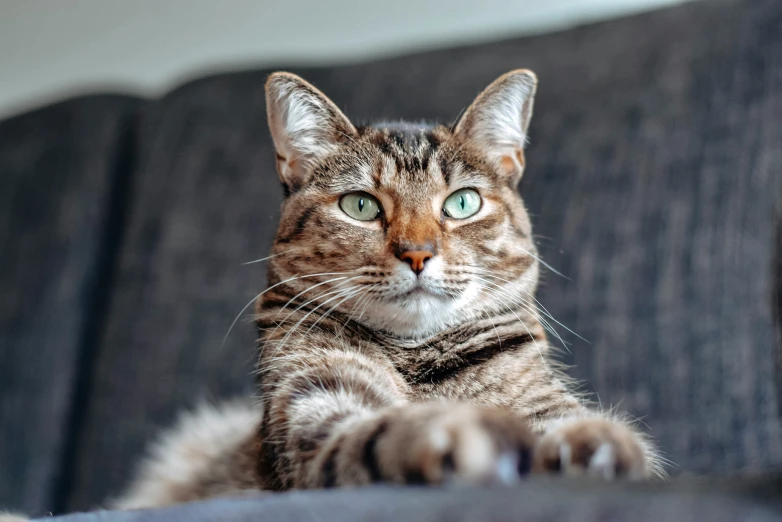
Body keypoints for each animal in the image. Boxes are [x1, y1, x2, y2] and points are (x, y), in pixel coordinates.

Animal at [110, 69, 664, 508]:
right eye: (360, 205)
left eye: (463, 203)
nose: (417, 253)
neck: (416, 356)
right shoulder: (315, 402)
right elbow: (371, 434)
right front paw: (457, 433)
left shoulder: (540, 400)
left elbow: (574, 427)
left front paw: (597, 444)